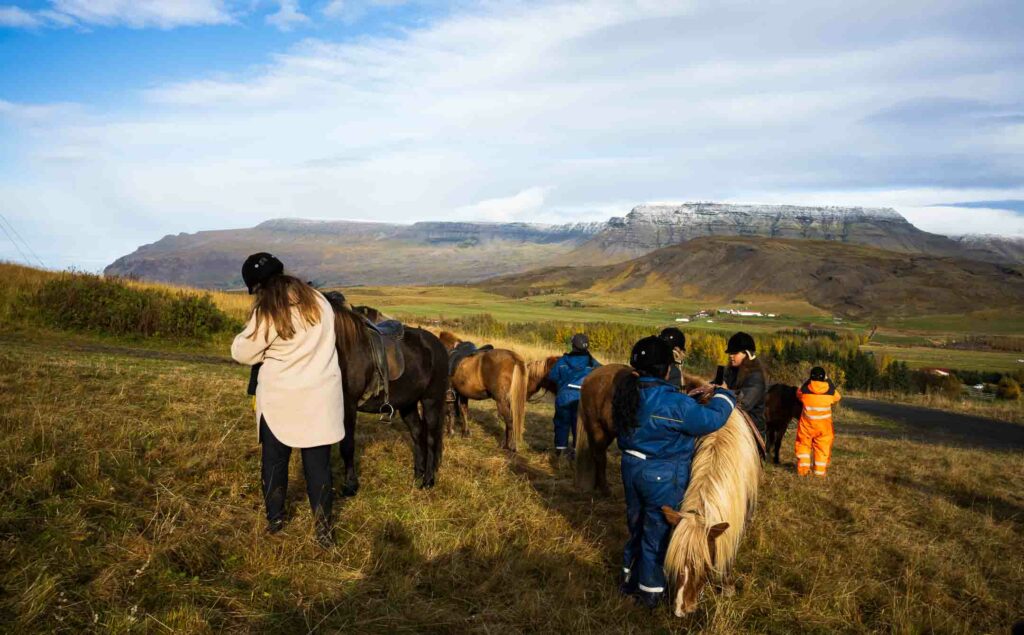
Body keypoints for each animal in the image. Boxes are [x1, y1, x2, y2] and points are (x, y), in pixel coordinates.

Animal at [321, 292, 446, 491]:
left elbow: (347, 445)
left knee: (432, 437)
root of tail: (436, 343)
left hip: (431, 400)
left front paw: (350, 486)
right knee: (418, 433)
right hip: (409, 403)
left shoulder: (348, 405)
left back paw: (428, 481)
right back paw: (417, 476)